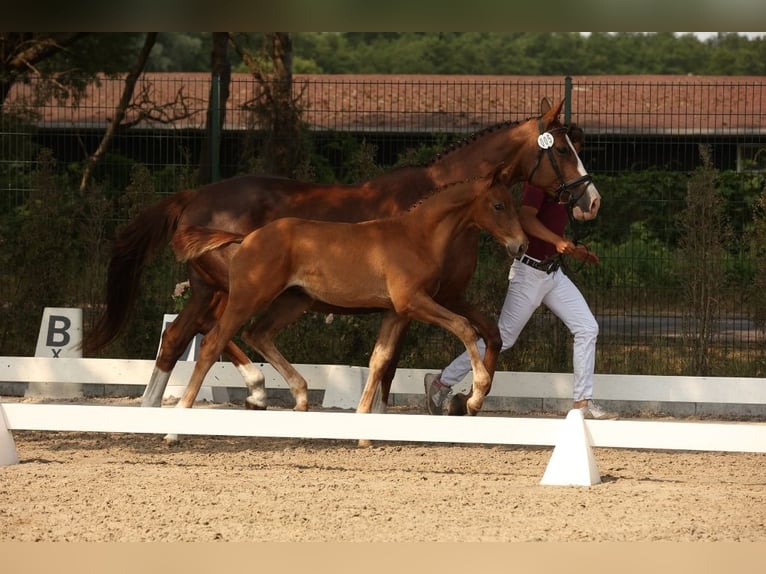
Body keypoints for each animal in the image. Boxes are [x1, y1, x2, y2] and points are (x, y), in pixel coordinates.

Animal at [170, 166, 528, 424]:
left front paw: (362, 415)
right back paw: (179, 419)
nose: (521, 245)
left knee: (257, 334)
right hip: (248, 297)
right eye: (499, 205)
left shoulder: (396, 312)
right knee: (213, 342)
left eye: (514, 204)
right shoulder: (414, 302)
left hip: (293, 301)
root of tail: (246, 238)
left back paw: (301, 397)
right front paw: (475, 395)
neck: (417, 237)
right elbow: (465, 328)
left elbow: (379, 359)